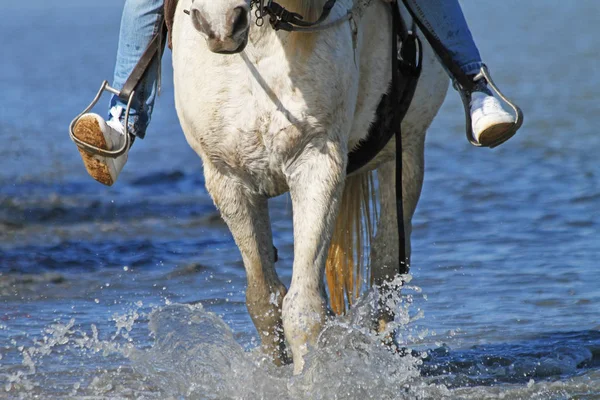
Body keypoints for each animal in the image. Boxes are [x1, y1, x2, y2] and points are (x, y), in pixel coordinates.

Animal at [171, 0, 448, 374]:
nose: (220, 25)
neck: (260, 44)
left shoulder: (316, 163)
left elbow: (304, 309)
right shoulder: (228, 179)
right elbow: (263, 300)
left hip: (405, 156)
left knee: (387, 265)